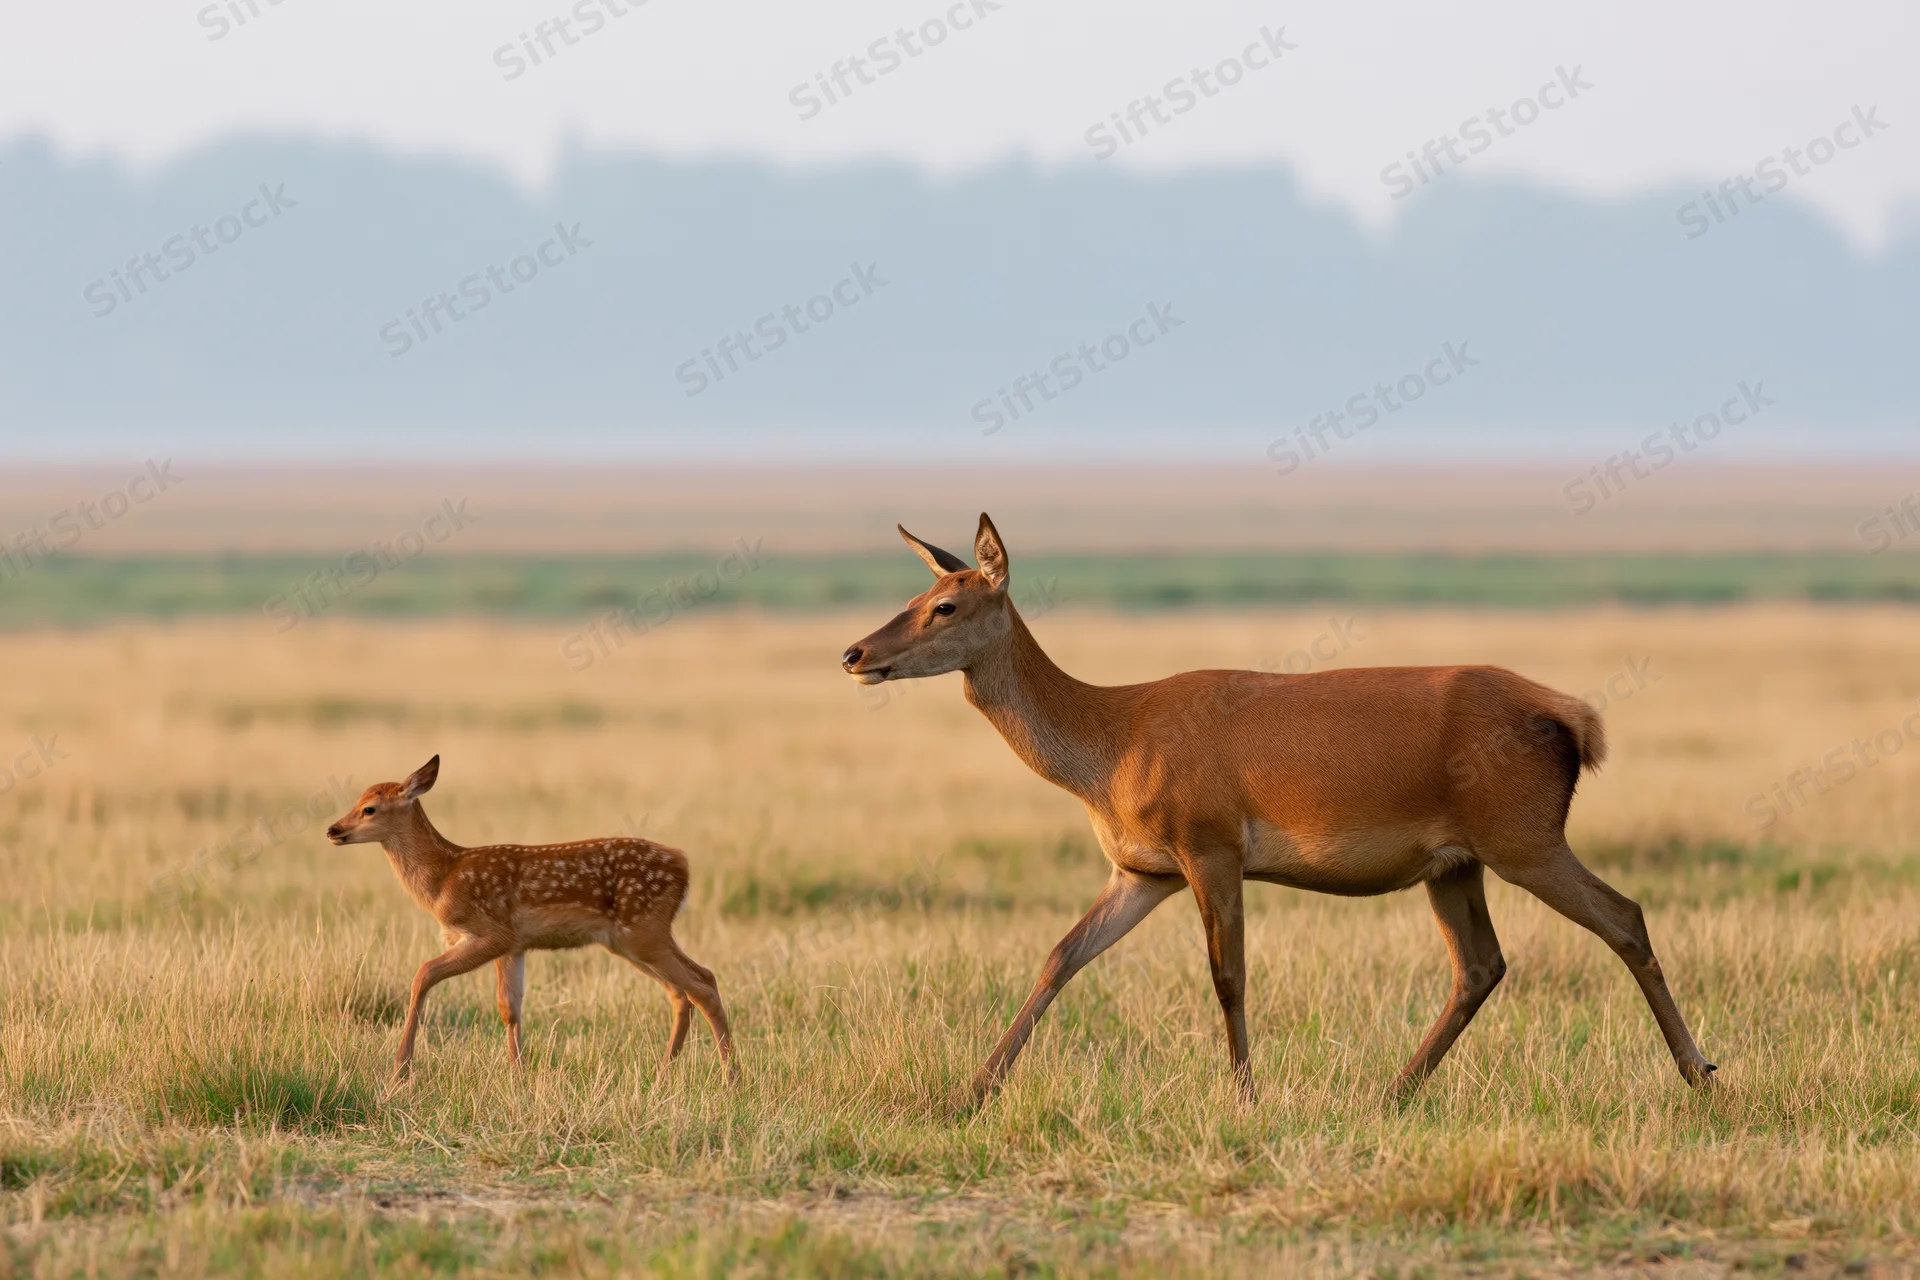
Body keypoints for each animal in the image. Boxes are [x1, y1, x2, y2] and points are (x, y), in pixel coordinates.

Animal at [325, 756, 734, 1081]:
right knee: (681, 992)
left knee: (702, 983)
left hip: (644, 929)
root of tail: (683, 865)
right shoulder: (514, 946)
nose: (333, 829)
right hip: (629, 941)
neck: (443, 877)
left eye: (369, 808)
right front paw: (517, 1073)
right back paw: (665, 1071)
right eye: (357, 801)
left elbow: (423, 974)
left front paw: (400, 1067)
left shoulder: (493, 932)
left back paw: (732, 1079)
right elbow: (510, 1008)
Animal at [841, 515, 1714, 1107]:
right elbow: (1061, 955)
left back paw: (1701, 1073)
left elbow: (1228, 975)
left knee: (1624, 917)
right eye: (918, 590)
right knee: (1481, 964)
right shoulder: (1140, 870)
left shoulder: (1211, 846)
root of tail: (1574, 720)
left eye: (948, 605)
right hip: (1456, 863)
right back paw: (1391, 1093)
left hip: (1525, 839)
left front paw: (1245, 1096)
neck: (1110, 742)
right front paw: (969, 1093)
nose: (855, 653)